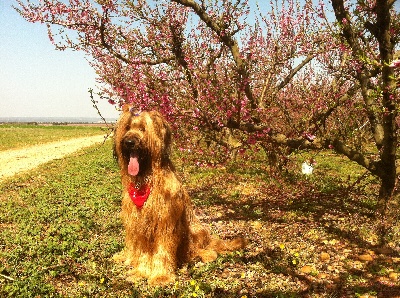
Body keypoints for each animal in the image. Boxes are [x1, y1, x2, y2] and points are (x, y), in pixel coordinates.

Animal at [111, 106, 245, 286]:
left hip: (195, 230)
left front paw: (160, 276)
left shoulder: (165, 222)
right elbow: (141, 251)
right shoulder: (137, 224)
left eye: (143, 129)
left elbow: (162, 251)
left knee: (204, 249)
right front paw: (140, 272)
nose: (129, 142)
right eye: (126, 128)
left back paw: (204, 255)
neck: (147, 179)